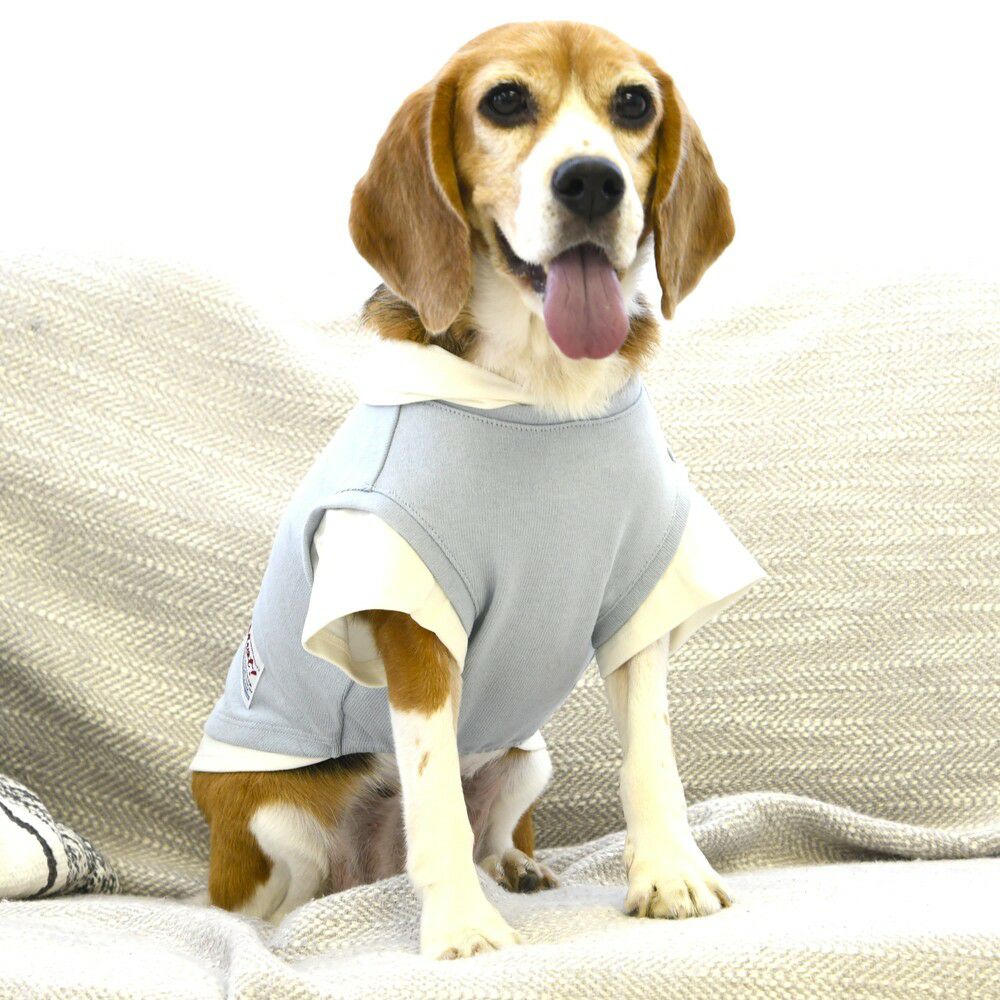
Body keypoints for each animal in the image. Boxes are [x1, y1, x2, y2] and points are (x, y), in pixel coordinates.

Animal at [191, 21, 759, 961]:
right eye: (505, 100)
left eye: (633, 103)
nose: (592, 180)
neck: (542, 394)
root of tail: (370, 874)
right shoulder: (413, 620)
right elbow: (435, 799)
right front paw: (460, 926)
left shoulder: (641, 601)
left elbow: (651, 761)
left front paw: (669, 875)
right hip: (272, 817)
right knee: (276, 896)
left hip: (529, 757)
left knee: (495, 825)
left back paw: (516, 867)